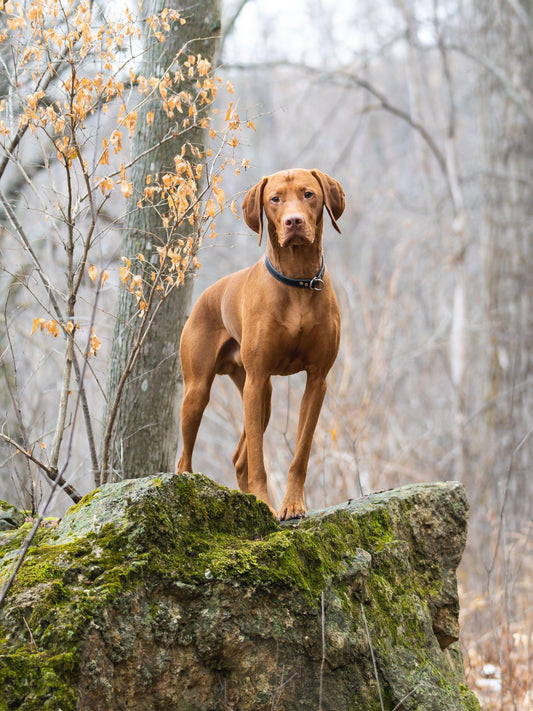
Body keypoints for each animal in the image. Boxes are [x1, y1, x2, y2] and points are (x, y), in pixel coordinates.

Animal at [178, 170, 344, 520]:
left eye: (308, 194)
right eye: (275, 199)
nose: (294, 222)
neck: (297, 282)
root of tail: (207, 293)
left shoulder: (317, 380)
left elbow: (301, 452)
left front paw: (292, 504)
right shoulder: (256, 380)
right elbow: (258, 458)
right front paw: (264, 504)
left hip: (263, 393)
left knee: (239, 458)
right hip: (200, 390)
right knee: (186, 456)